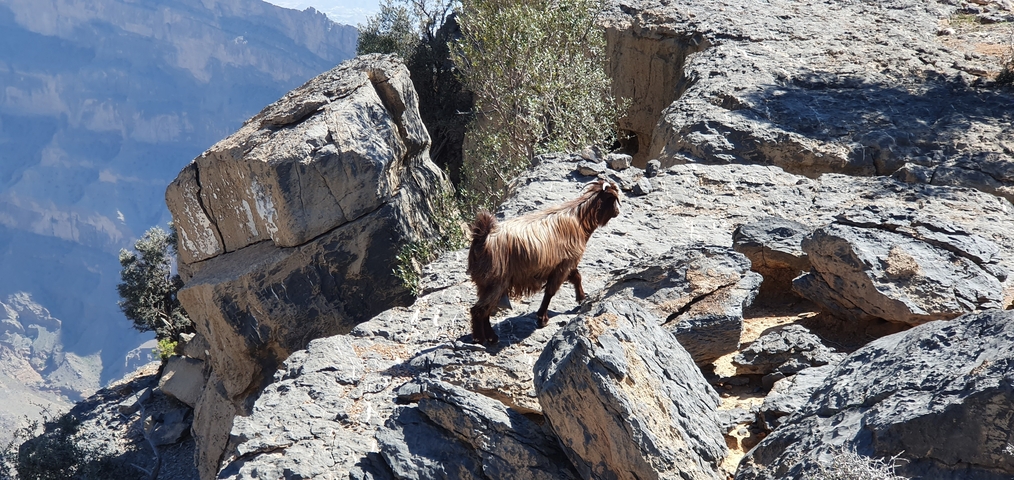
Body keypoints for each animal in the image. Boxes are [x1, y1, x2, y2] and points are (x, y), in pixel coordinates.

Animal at [466, 179, 622, 345]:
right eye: (614, 199)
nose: (617, 212)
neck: (579, 219)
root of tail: (483, 236)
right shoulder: (564, 264)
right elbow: (551, 291)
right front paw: (542, 318)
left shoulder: (566, 263)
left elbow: (576, 277)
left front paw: (581, 298)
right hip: (496, 281)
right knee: (480, 309)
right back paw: (482, 338)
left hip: (485, 283)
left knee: (485, 309)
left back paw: (490, 336)